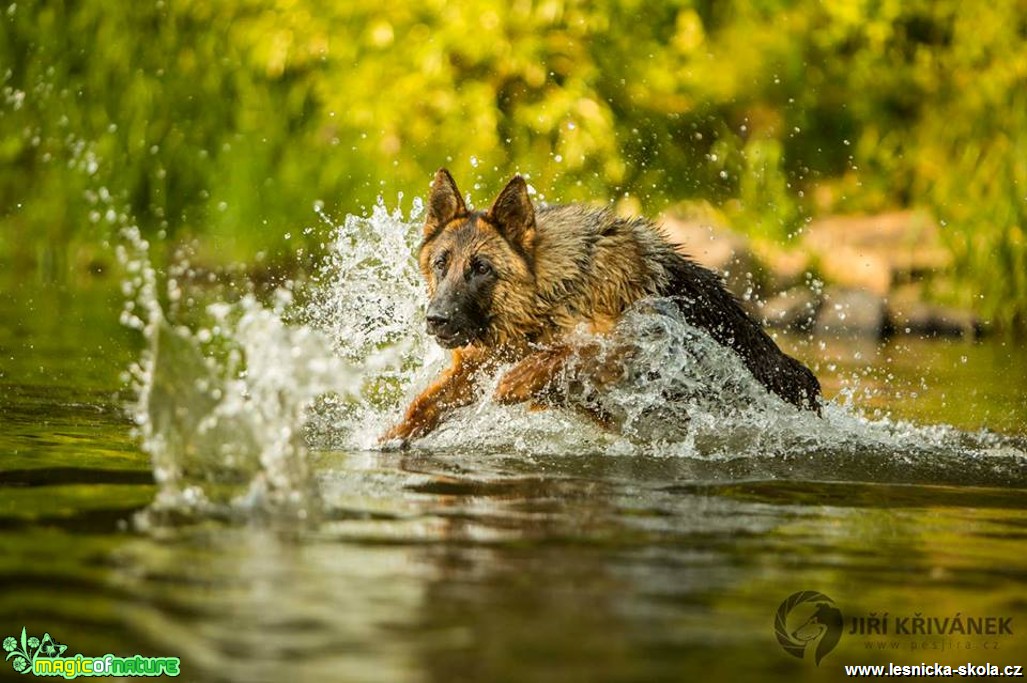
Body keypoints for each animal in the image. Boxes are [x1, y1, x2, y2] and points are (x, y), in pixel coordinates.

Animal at [382, 169, 821, 441]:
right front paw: (389, 437)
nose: (435, 320)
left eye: (481, 268)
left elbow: (569, 350)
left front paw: (516, 381)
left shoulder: (635, 341)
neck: (551, 295)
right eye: (441, 264)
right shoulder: (473, 367)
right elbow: (422, 404)